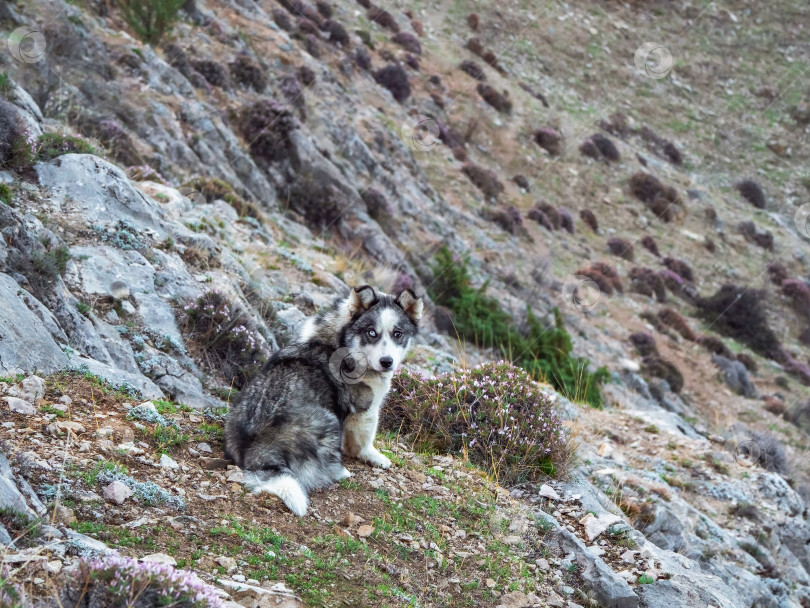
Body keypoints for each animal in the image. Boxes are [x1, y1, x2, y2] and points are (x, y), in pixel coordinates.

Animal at [223, 288, 420, 516]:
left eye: (398, 334)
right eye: (371, 332)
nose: (387, 362)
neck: (343, 341)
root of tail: (257, 451)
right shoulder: (366, 407)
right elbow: (364, 439)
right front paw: (374, 456)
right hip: (327, 421)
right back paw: (340, 471)